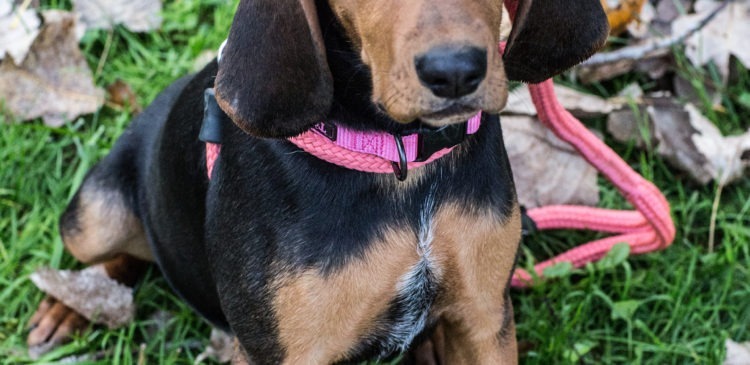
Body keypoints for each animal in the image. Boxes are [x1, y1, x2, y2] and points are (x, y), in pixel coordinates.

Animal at [27, 0, 612, 362]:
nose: (454, 73)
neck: (397, 158)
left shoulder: (484, 320)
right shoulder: (286, 352)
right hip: (94, 217)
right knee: (116, 250)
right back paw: (68, 305)